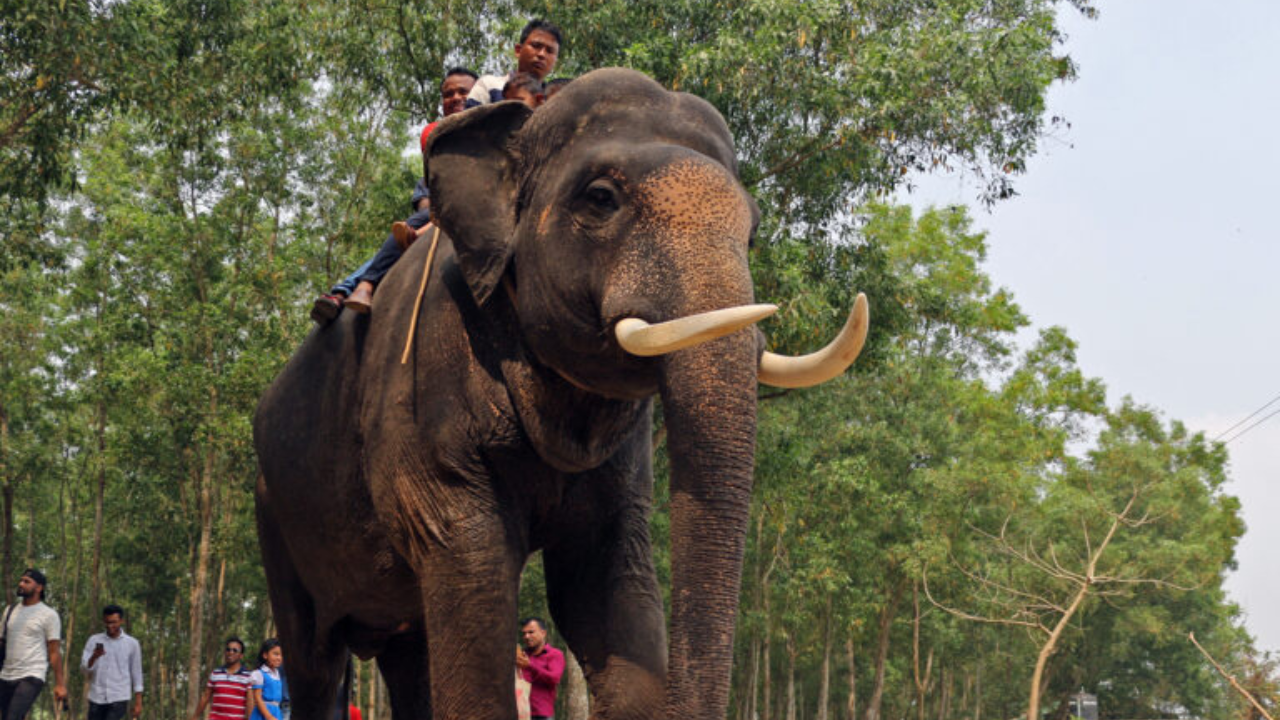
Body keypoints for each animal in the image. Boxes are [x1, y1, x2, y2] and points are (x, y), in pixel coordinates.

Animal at [253, 67, 869, 720]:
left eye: (751, 232)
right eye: (600, 198)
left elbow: (600, 579)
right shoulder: (423, 394)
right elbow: (471, 561)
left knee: (408, 651)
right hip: (275, 513)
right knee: (315, 660)